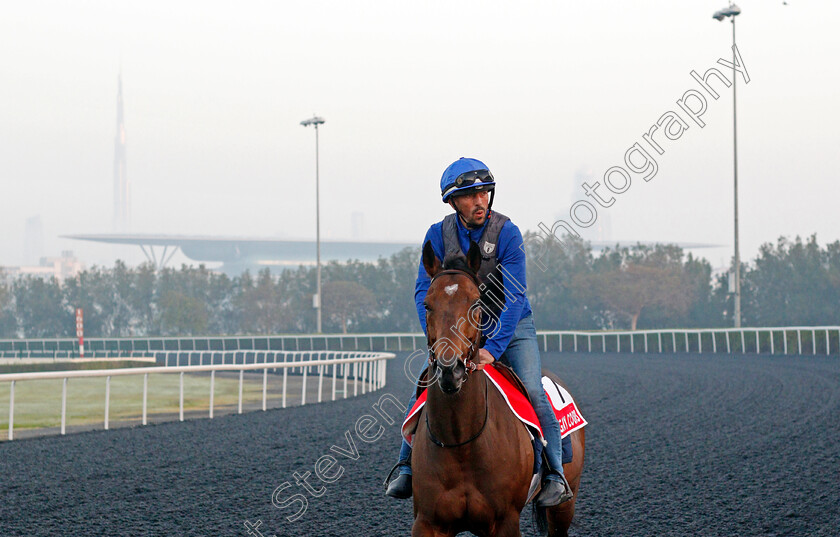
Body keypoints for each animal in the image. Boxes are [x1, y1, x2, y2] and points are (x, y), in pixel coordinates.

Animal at [412, 242, 584, 536]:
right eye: (427, 304)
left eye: (476, 302)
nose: (450, 370)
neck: (461, 441)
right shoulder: (427, 522)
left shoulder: (505, 521)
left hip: (564, 506)